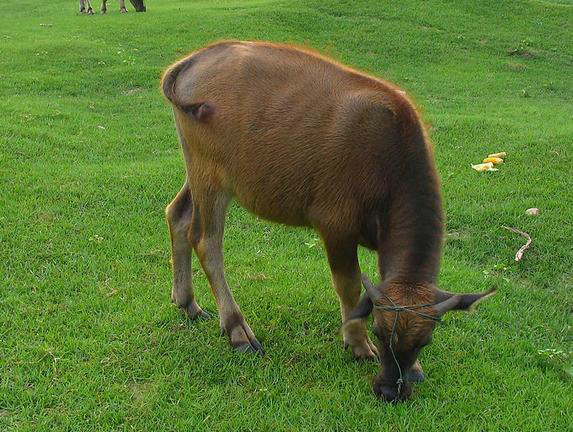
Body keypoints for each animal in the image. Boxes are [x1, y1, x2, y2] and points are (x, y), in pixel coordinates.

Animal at [159, 41, 494, 402]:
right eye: (379, 332)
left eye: (425, 340)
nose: (390, 390)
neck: (388, 161)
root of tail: (195, 58)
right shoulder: (335, 227)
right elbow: (349, 286)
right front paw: (357, 343)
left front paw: (414, 368)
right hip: (212, 177)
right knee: (206, 241)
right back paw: (237, 329)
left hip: (197, 170)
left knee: (178, 215)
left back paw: (188, 303)